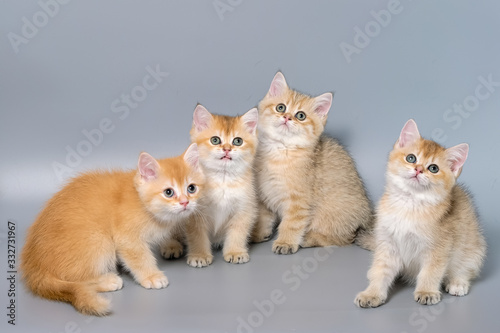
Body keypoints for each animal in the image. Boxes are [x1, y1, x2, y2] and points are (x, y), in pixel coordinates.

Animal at [19, 144, 203, 316]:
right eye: (168, 192)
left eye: (191, 188)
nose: (185, 202)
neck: (143, 204)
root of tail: (34, 266)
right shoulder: (126, 238)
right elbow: (139, 257)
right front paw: (151, 276)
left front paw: (171, 244)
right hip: (99, 239)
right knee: (75, 279)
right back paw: (108, 280)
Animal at [162, 105, 260, 266]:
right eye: (215, 140)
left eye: (237, 141)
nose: (227, 149)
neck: (222, 179)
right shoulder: (194, 213)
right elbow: (197, 236)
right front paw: (200, 255)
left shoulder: (244, 208)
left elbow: (238, 232)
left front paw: (235, 251)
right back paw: (171, 246)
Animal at [252, 71, 374, 253]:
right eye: (281, 107)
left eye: (300, 116)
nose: (287, 117)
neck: (279, 150)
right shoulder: (264, 195)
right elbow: (264, 218)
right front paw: (257, 235)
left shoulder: (298, 202)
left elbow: (291, 224)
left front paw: (285, 242)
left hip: (331, 213)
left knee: (345, 238)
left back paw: (310, 239)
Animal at [354, 118, 486, 306]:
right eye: (411, 158)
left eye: (433, 168)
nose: (418, 169)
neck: (409, 204)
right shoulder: (387, 244)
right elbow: (380, 271)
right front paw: (372, 293)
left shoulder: (438, 248)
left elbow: (430, 272)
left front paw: (426, 291)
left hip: (473, 247)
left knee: (465, 268)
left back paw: (457, 283)